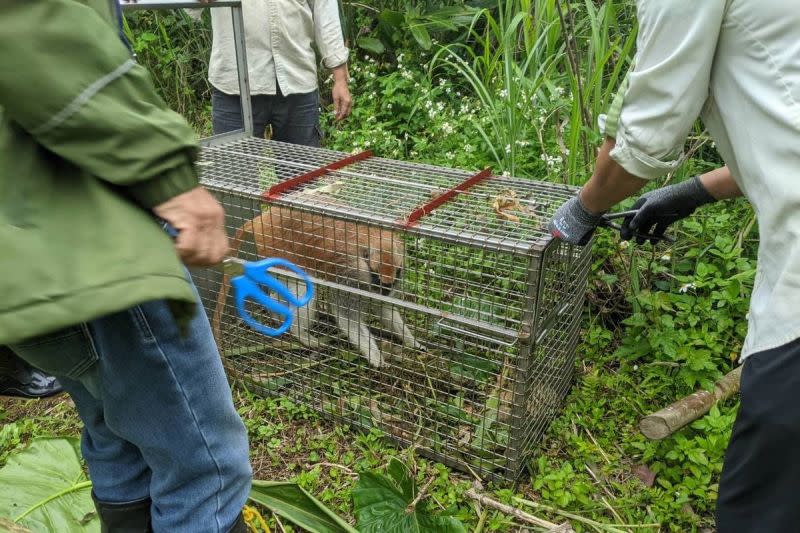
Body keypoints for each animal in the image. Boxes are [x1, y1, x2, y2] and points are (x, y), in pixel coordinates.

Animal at [192, 135, 592, 480]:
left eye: (395, 273)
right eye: (374, 272)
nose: (384, 286)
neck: (369, 242)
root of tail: (261, 218)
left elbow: (386, 311)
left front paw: (411, 342)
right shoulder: (352, 276)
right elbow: (349, 314)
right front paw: (378, 358)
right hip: (280, 251)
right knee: (302, 294)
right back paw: (300, 333)